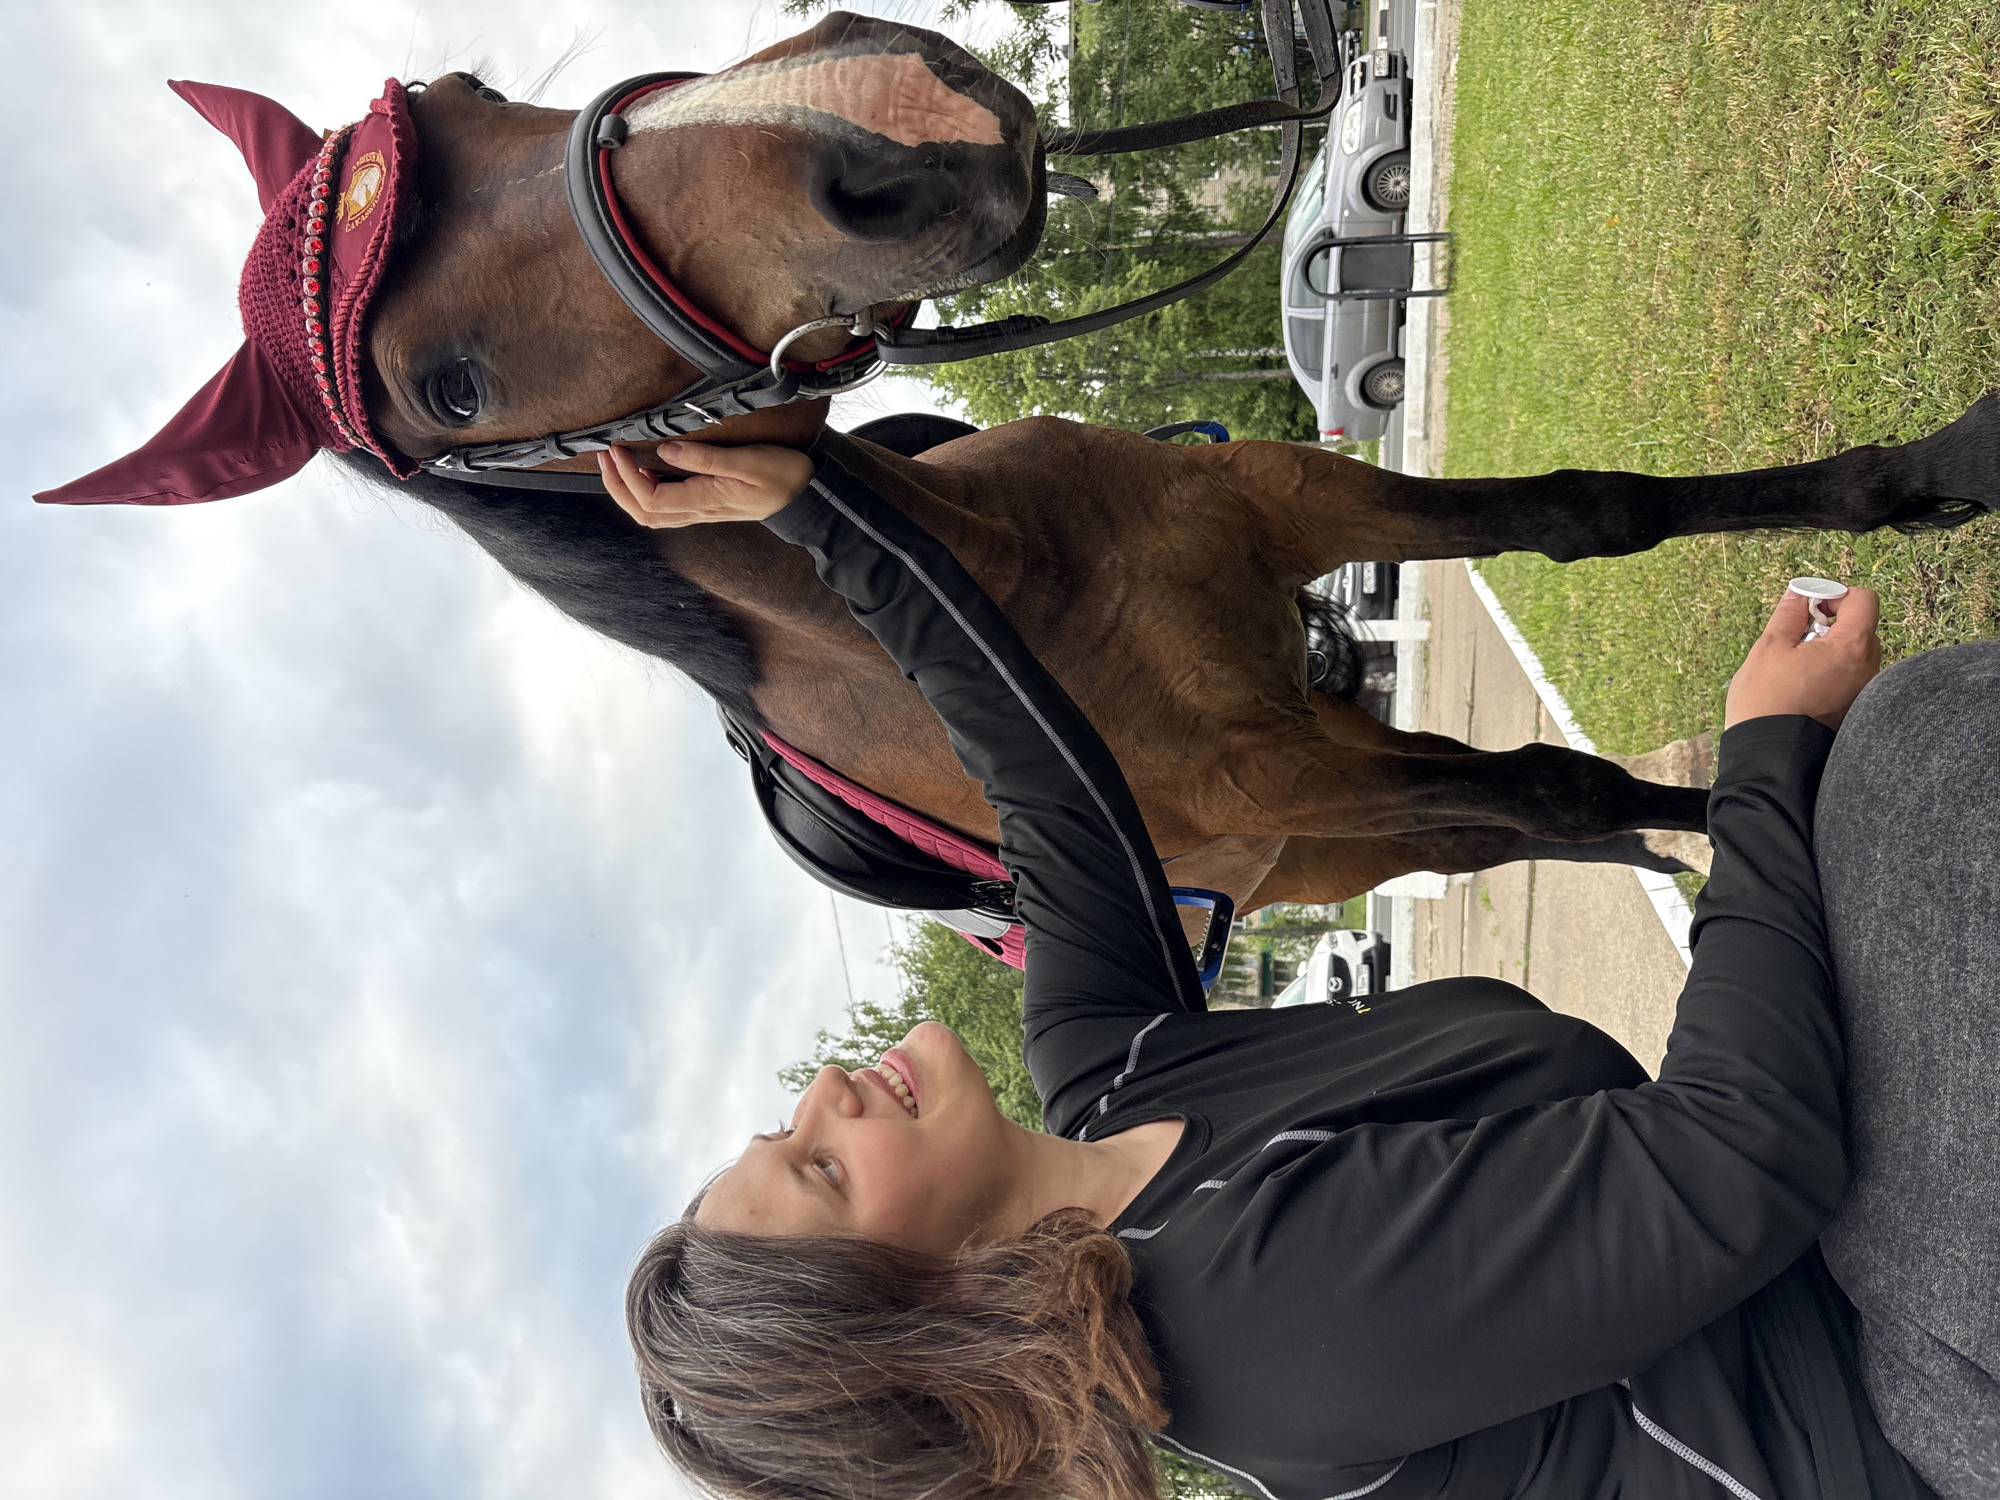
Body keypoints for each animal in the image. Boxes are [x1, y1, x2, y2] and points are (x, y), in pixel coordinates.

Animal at [48, 12, 1999, 920]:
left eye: (469, 89)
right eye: (443, 385)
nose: (888, 127)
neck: (1024, 594)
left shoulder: (1295, 509)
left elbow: (1599, 518)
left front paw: (1937, 469)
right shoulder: (1301, 772)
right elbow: (1564, 793)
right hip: (1330, 829)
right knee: (1511, 807)